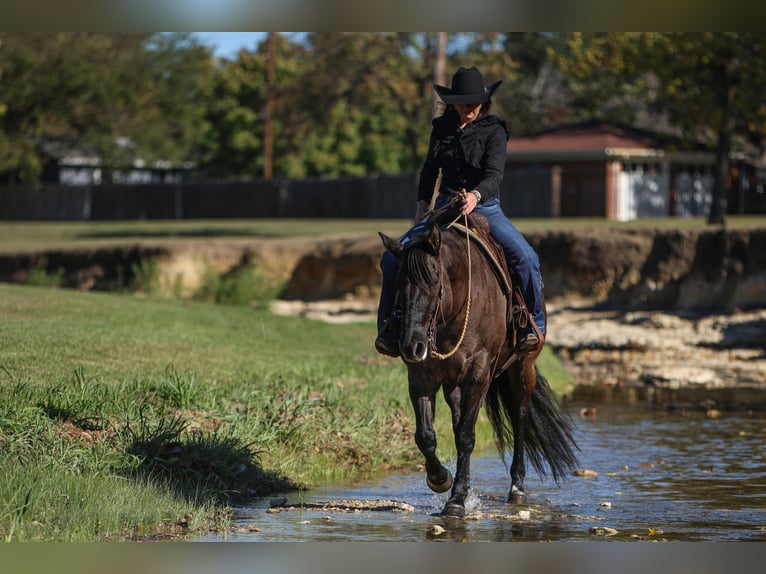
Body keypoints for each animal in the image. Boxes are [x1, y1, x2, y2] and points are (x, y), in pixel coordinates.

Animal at [380, 210, 580, 516]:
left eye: (434, 281)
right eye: (398, 284)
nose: (411, 346)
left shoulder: (479, 374)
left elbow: (466, 436)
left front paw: (457, 500)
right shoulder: (421, 376)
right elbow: (426, 435)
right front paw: (440, 479)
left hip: (522, 368)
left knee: (519, 417)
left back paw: (517, 487)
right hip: (453, 384)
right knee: (458, 419)